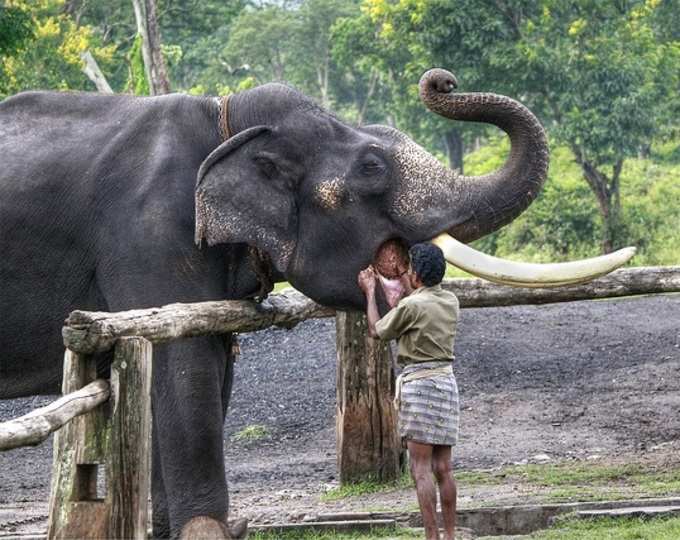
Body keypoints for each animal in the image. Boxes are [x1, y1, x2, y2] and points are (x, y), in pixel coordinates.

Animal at [0, 69, 632, 536]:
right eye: (373, 168)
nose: (442, 81)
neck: (225, 119)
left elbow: (208, 365)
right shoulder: (148, 234)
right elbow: (184, 367)